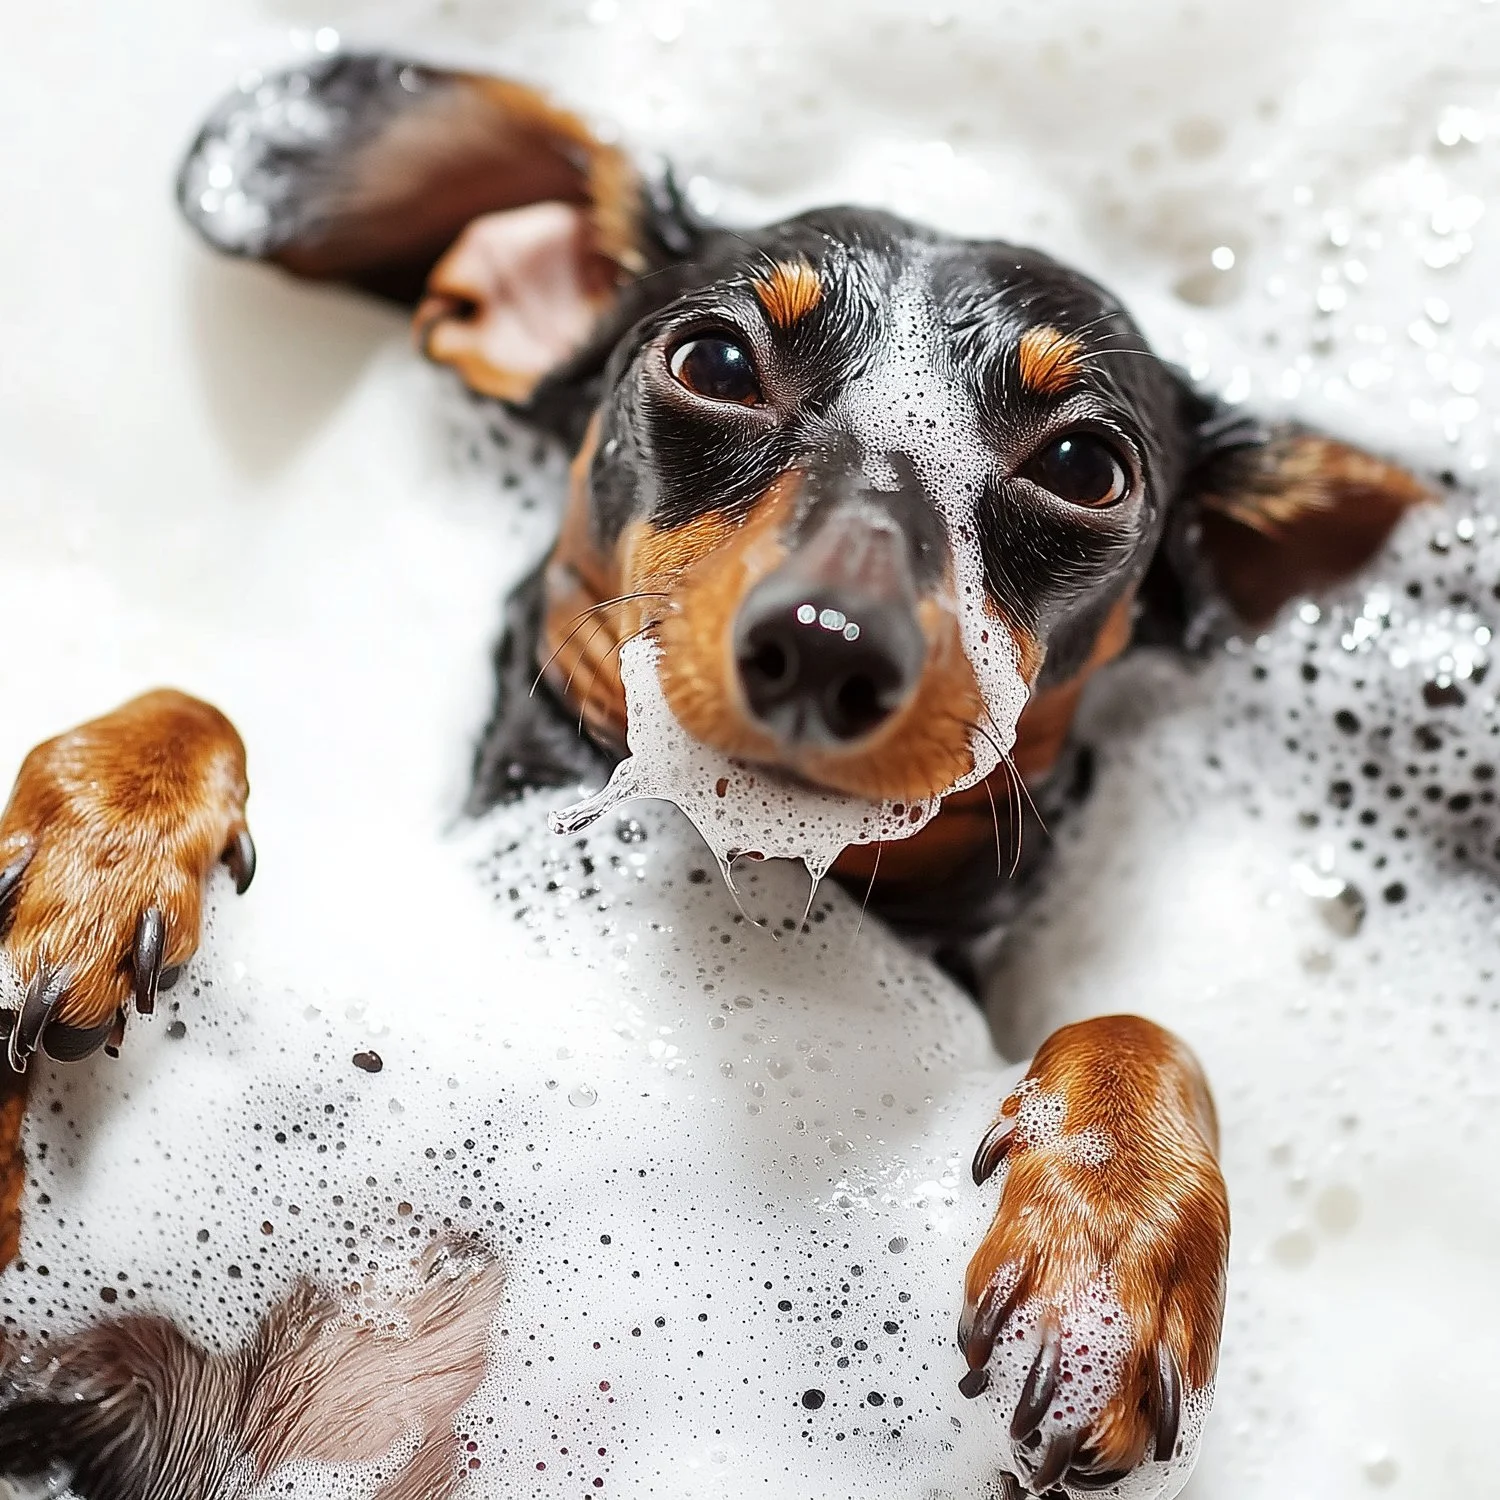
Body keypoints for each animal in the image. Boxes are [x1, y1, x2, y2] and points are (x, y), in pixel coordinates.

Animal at [0, 50, 1431, 1500]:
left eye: (1087, 466)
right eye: (717, 361)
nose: (827, 644)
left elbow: (1147, 1026)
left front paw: (1108, 1245)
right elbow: (193, 699)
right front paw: (95, 852)